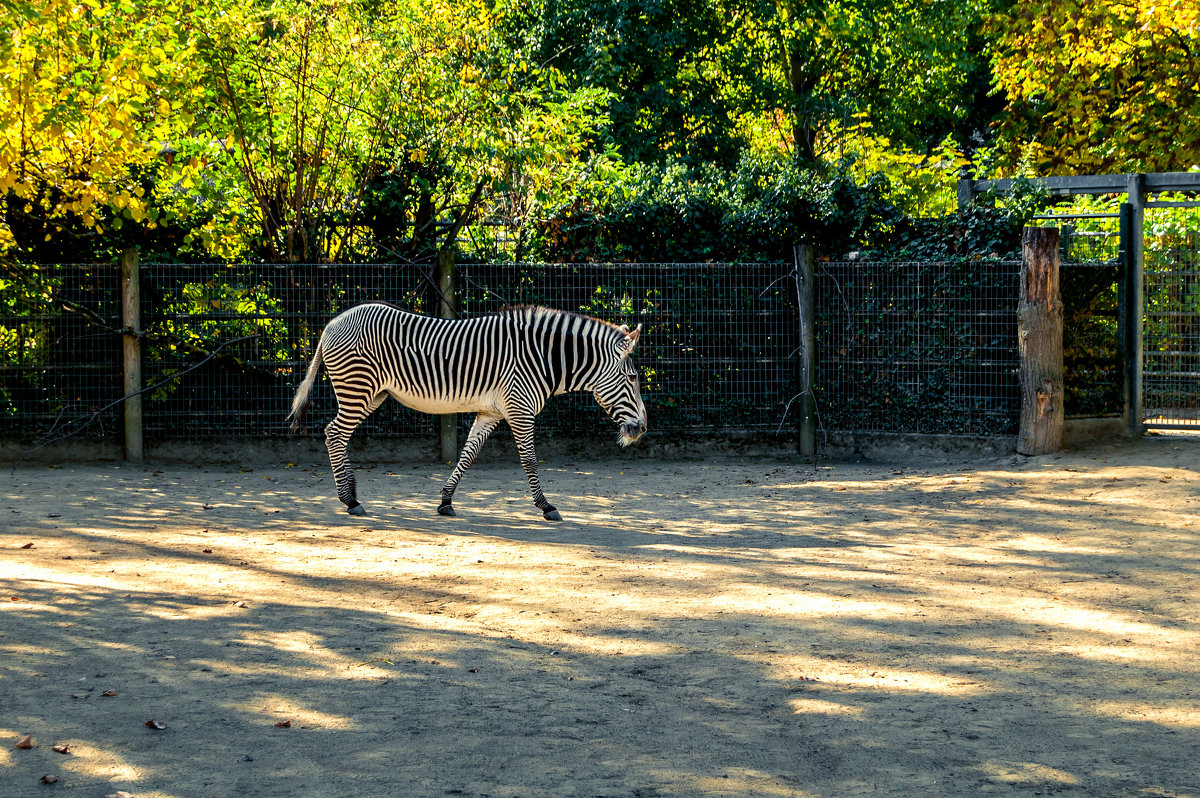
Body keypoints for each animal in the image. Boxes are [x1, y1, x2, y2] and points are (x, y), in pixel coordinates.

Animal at [285, 302, 648, 520]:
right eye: (632, 378)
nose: (642, 429)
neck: (542, 360)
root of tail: (332, 322)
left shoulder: (492, 412)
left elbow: (468, 455)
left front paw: (446, 501)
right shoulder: (519, 408)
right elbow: (530, 461)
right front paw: (546, 506)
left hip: (373, 394)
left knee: (339, 434)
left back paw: (353, 493)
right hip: (357, 388)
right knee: (334, 433)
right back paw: (349, 500)